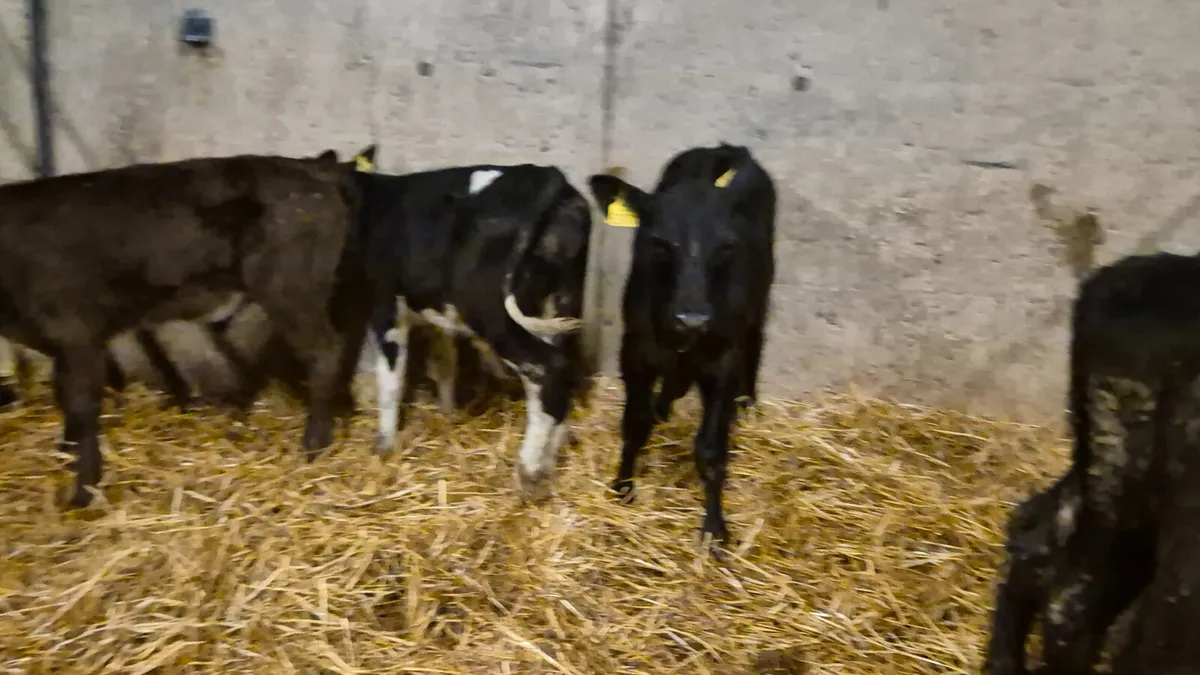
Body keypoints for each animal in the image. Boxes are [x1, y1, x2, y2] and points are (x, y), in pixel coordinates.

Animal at [0, 149, 374, 508]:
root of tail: (315, 167)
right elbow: (63, 395)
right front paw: (65, 452)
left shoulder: (76, 332)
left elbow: (81, 405)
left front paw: (83, 490)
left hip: (292, 291)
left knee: (324, 354)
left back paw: (314, 445)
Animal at [348, 147, 592, 496]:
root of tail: (546, 176)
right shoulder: (439, 315)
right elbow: (444, 364)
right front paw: (448, 416)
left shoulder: (385, 307)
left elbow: (391, 380)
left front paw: (384, 446)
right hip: (561, 304)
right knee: (558, 374)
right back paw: (547, 463)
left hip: (495, 312)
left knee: (548, 371)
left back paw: (528, 469)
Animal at [585, 143, 776, 549]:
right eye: (658, 241)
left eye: (726, 245)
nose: (692, 318)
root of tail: (725, 147)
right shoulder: (635, 350)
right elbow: (635, 423)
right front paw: (623, 485)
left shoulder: (724, 361)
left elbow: (711, 448)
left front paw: (715, 528)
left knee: (756, 336)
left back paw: (746, 400)